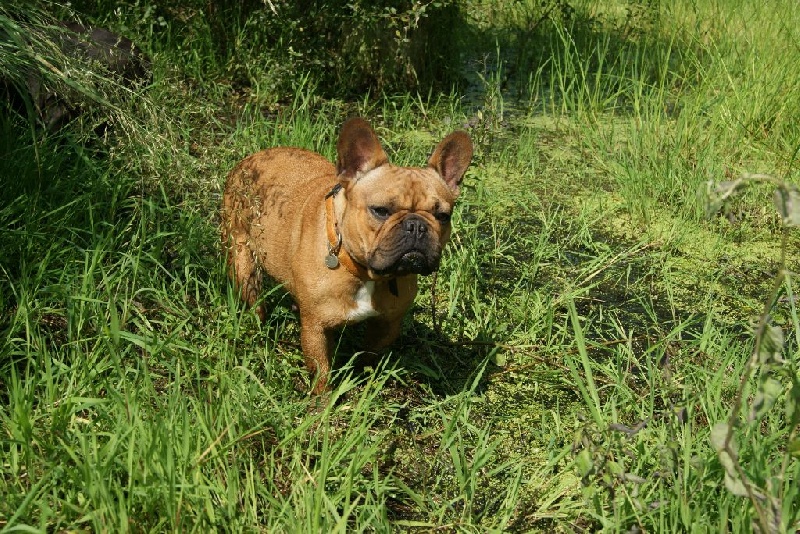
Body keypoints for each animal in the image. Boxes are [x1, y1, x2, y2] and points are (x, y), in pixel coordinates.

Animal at [222, 118, 472, 394]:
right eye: (380, 210)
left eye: (443, 216)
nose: (416, 226)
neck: (365, 273)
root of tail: (249, 160)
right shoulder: (316, 331)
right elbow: (321, 374)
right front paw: (323, 401)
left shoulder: (387, 324)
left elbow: (369, 356)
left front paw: (363, 379)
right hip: (243, 263)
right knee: (254, 302)